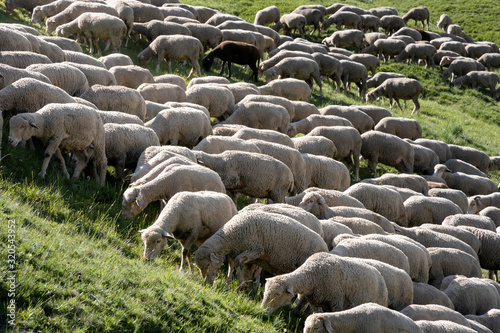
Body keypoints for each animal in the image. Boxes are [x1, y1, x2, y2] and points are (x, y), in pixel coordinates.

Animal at [194, 210, 328, 282]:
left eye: (207, 265)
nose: (206, 283)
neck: (231, 234)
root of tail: (325, 246)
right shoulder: (241, 253)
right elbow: (235, 266)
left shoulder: (256, 249)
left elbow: (237, 262)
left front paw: (242, 284)